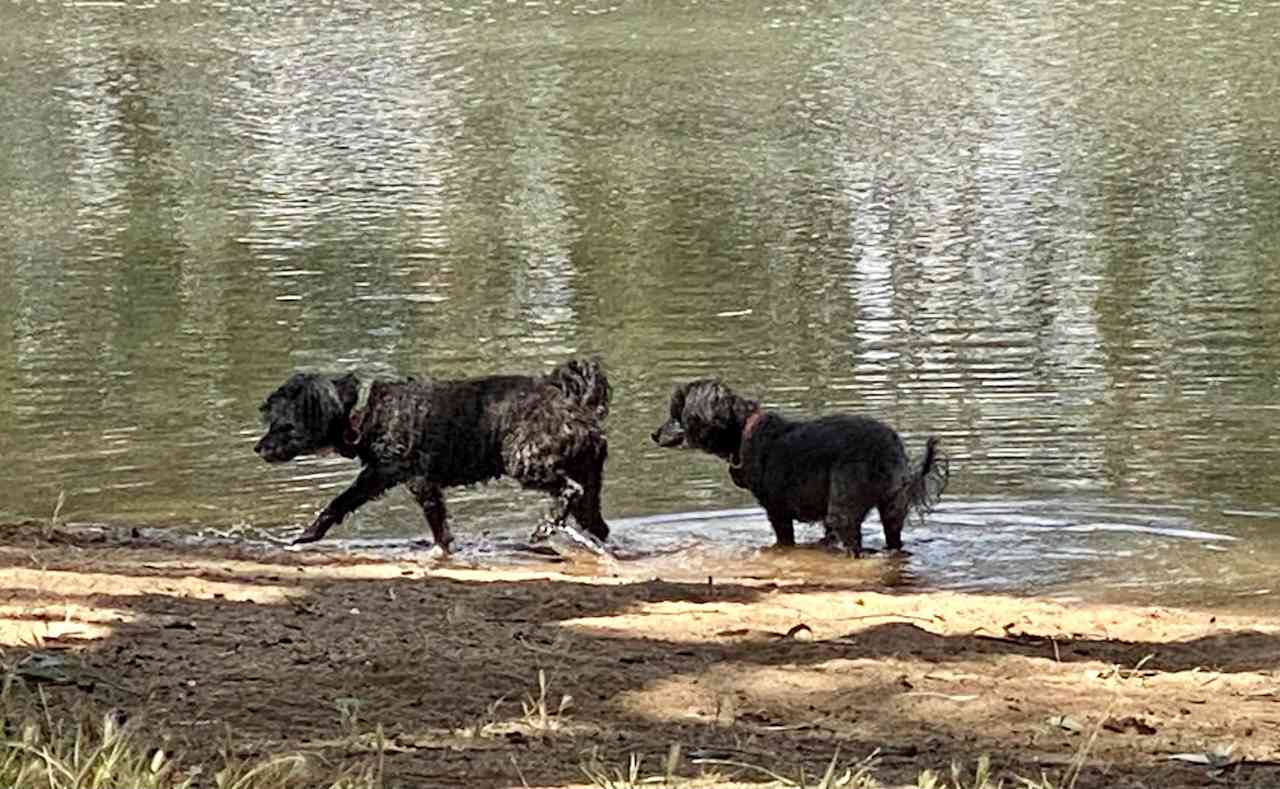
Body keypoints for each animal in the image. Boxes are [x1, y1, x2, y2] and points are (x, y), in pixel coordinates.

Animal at [254, 358, 609, 548]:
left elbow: (437, 524)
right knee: (596, 521)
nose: (258, 448)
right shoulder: (379, 476)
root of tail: (574, 404)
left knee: (569, 490)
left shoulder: (415, 479)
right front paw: (308, 536)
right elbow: (338, 504)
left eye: (283, 425)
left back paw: (545, 527)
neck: (362, 411)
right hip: (589, 479)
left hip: (525, 460)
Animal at [655, 376, 947, 555]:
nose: (654, 434)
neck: (745, 431)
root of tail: (887, 447)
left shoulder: (778, 512)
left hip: (845, 506)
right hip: (892, 506)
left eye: (676, 415)